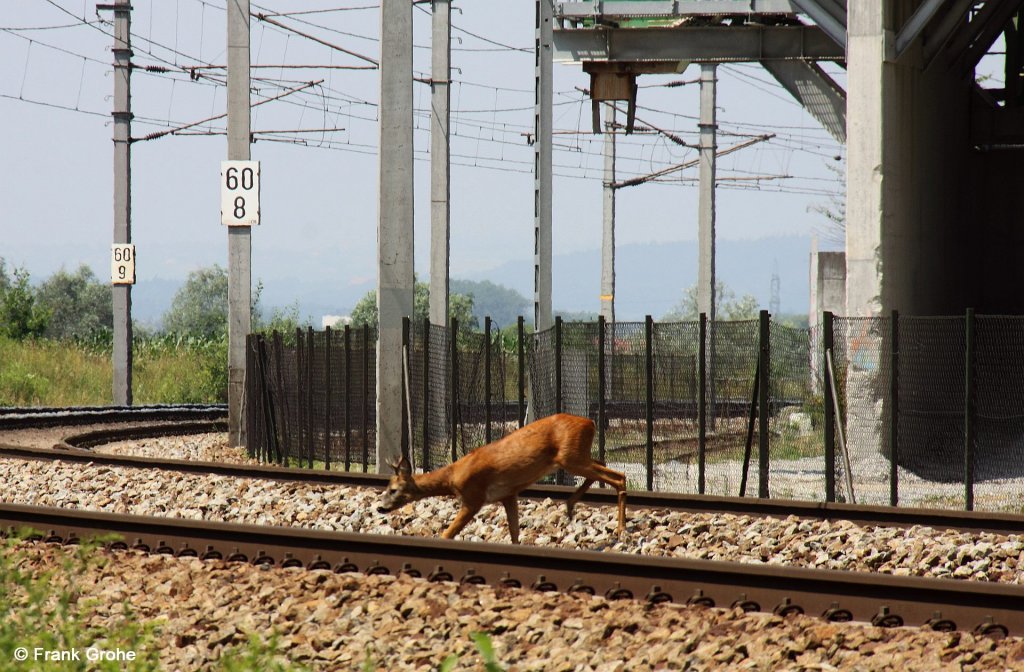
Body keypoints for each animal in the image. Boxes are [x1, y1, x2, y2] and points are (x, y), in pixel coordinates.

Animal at [378, 411, 622, 544]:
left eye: (393, 489)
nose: (380, 508)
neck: (452, 477)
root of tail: (590, 423)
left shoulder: (473, 498)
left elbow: (447, 534)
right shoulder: (508, 494)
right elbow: (514, 532)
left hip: (570, 457)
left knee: (618, 476)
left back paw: (620, 530)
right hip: (577, 455)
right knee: (603, 464)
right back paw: (570, 507)